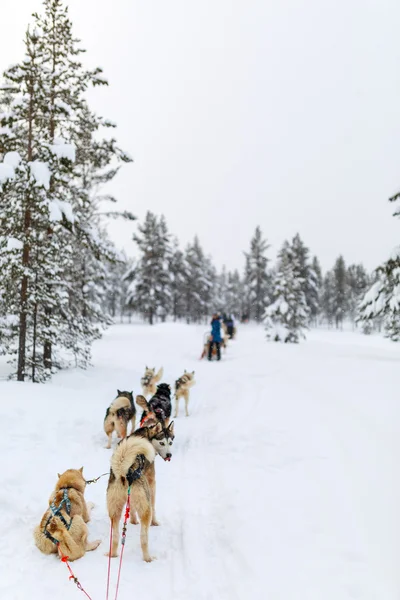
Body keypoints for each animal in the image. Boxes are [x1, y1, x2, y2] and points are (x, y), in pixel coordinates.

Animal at [107, 422, 174, 564]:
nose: (169, 455)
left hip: (114, 511)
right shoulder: (152, 483)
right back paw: (148, 558)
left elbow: (131, 509)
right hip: (145, 509)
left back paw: (113, 555)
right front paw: (155, 522)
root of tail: (125, 473)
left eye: (170, 442)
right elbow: (154, 506)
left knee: (115, 537)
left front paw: (133, 520)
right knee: (143, 539)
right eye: (162, 443)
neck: (146, 435)